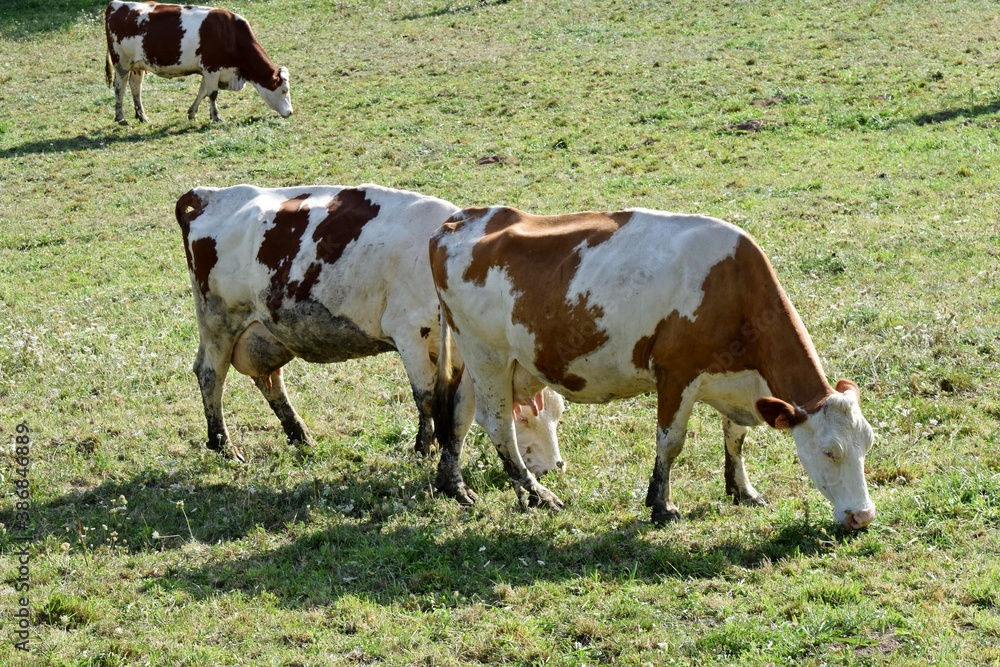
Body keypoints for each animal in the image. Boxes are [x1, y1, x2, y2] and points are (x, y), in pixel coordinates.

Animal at [106, 1, 292, 124]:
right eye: (284, 90)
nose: (290, 112)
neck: (230, 34)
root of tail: (116, 4)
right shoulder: (211, 67)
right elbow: (212, 94)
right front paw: (216, 117)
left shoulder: (209, 70)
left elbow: (202, 92)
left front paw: (192, 113)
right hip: (121, 63)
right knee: (119, 87)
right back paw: (120, 118)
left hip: (137, 65)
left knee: (135, 87)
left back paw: (142, 116)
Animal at [173, 185, 564, 504]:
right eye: (522, 415)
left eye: (557, 414)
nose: (555, 466)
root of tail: (211, 195)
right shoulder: (410, 333)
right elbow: (425, 397)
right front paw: (424, 447)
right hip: (218, 322)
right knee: (209, 375)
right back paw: (224, 445)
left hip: (264, 332)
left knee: (269, 380)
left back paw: (299, 434)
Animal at [430, 206, 876, 528]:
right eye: (829, 451)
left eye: (867, 446)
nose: (863, 516)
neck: (733, 288)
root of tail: (462, 219)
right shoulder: (676, 374)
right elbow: (670, 442)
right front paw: (661, 505)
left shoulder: (740, 382)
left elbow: (735, 437)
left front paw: (742, 491)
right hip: (488, 353)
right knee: (498, 424)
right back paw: (540, 494)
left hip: (480, 357)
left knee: (459, 411)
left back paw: (454, 485)